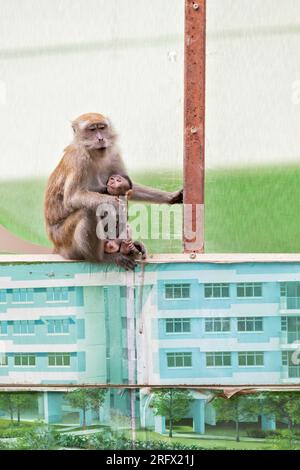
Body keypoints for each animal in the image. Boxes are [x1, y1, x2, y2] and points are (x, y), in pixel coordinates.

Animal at [43, 111, 182, 270]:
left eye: (102, 128)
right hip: (65, 241)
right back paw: (101, 258)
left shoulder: (113, 154)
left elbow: (130, 189)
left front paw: (170, 197)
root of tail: (57, 247)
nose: (100, 138)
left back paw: (130, 247)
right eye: (92, 130)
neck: (93, 154)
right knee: (89, 211)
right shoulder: (79, 159)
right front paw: (114, 204)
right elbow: (73, 197)